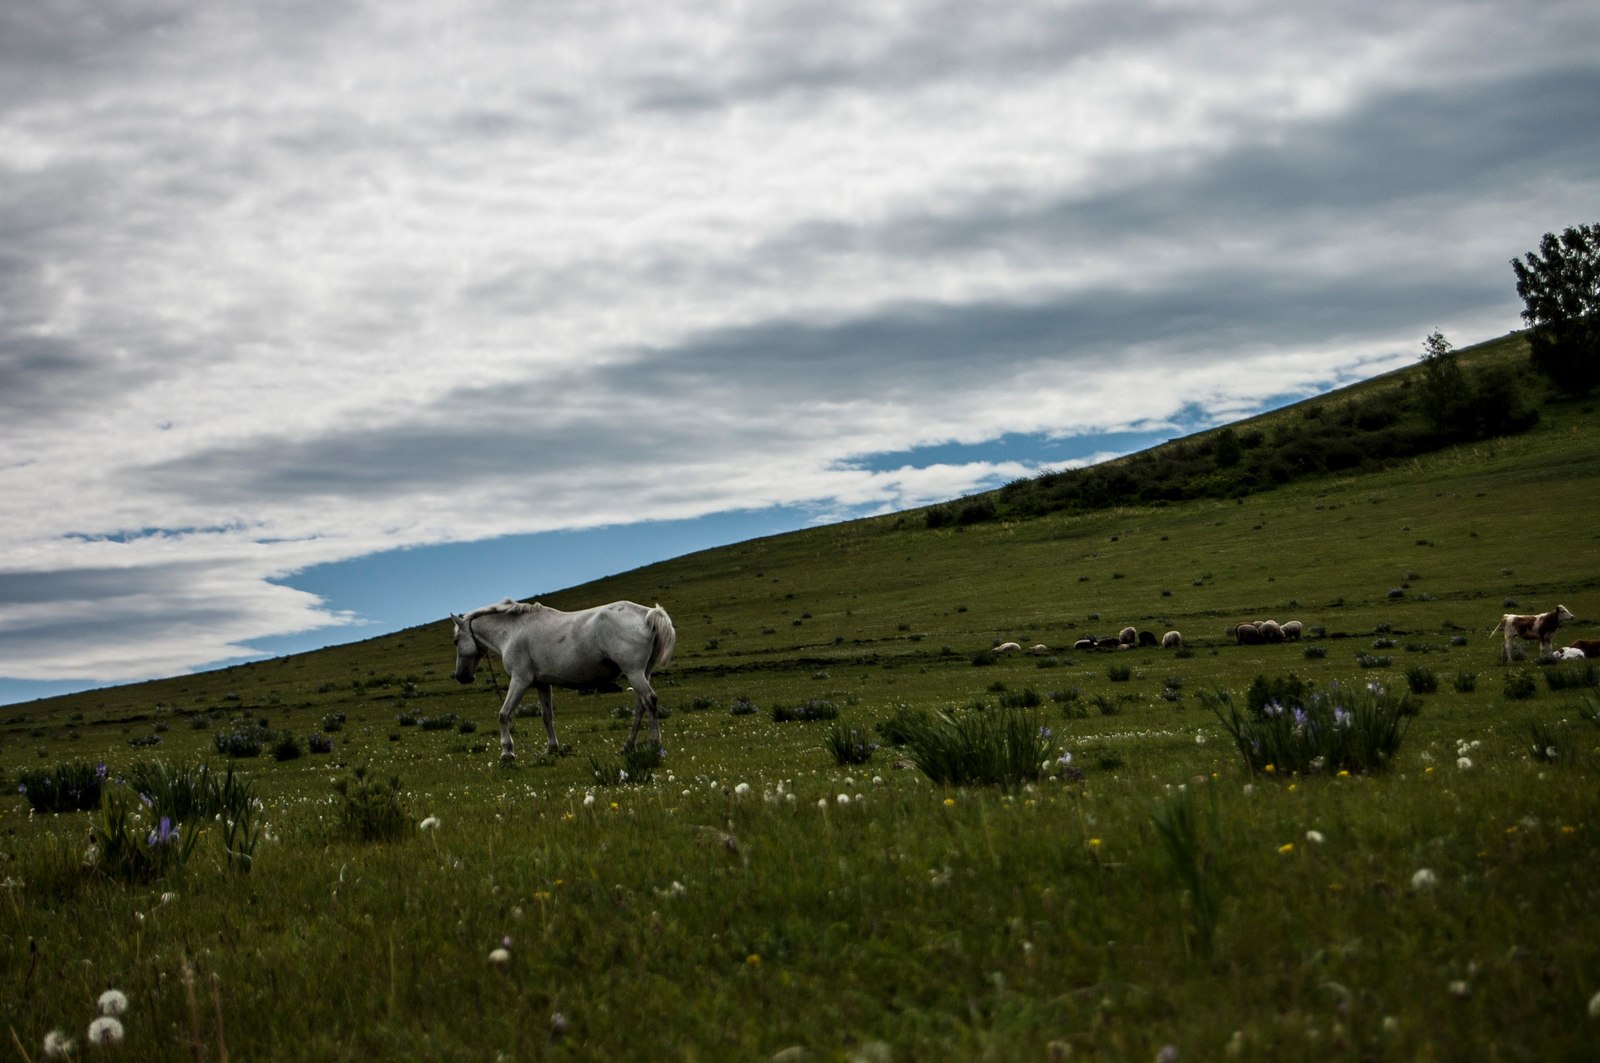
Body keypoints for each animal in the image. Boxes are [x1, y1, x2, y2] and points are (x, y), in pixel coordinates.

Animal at [451, 598, 675, 765]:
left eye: (455, 641)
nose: (461, 676)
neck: (512, 631)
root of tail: (647, 613)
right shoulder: (542, 684)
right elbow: (546, 716)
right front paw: (551, 748)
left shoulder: (520, 680)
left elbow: (504, 714)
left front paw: (507, 753)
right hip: (643, 672)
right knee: (641, 706)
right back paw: (627, 746)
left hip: (634, 672)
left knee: (649, 701)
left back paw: (654, 744)